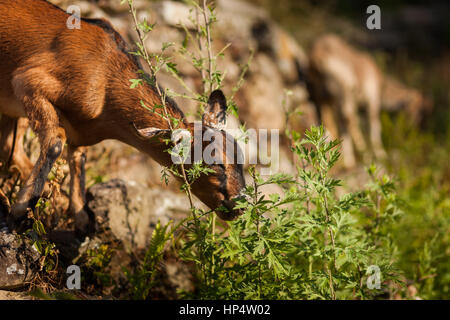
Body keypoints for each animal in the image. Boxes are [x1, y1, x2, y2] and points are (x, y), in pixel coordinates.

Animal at [0, 0, 246, 235]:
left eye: (240, 157)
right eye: (214, 161)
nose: (240, 205)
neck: (107, 80)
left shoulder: (77, 131)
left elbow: (77, 158)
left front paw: (82, 218)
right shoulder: (28, 81)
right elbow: (54, 143)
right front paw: (19, 213)